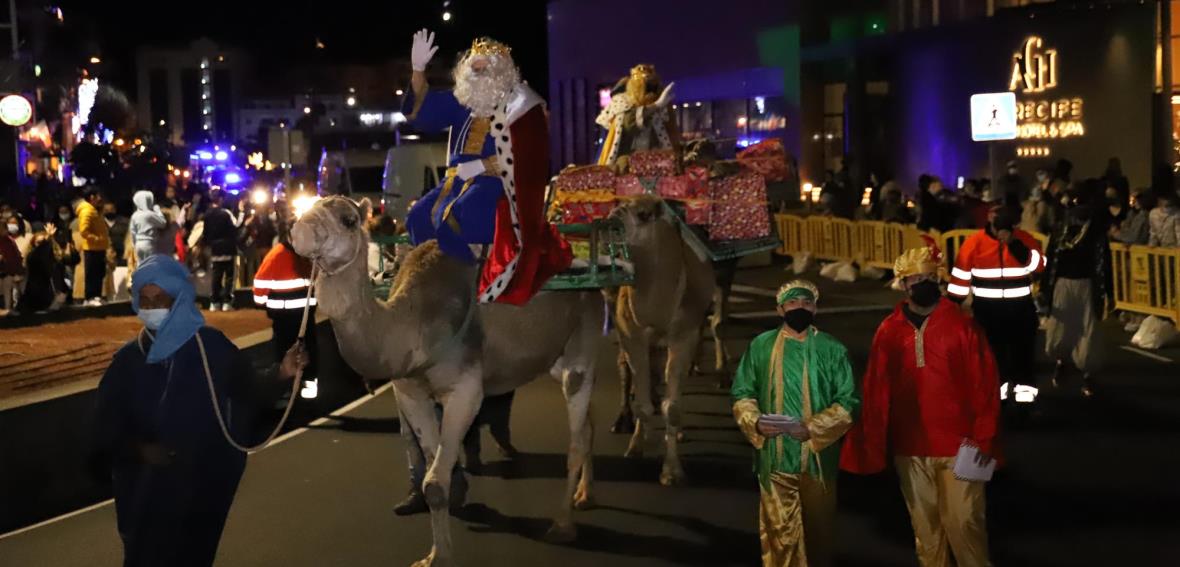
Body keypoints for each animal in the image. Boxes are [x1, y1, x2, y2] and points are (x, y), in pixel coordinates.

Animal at [291, 196, 604, 563]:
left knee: (576, 438)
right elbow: (431, 478)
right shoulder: (410, 391)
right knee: (588, 425)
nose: (300, 230)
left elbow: (435, 481)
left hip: (584, 342)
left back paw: (563, 525)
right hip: (557, 358)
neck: (413, 327)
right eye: (307, 206)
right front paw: (435, 554)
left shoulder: (466, 390)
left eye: (349, 220)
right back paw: (586, 495)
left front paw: (439, 555)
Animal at [608, 196, 717, 483]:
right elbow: (642, 402)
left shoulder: (684, 334)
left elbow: (673, 407)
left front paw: (672, 470)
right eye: (618, 204)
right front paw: (638, 445)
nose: (611, 218)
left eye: (644, 214)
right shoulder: (631, 334)